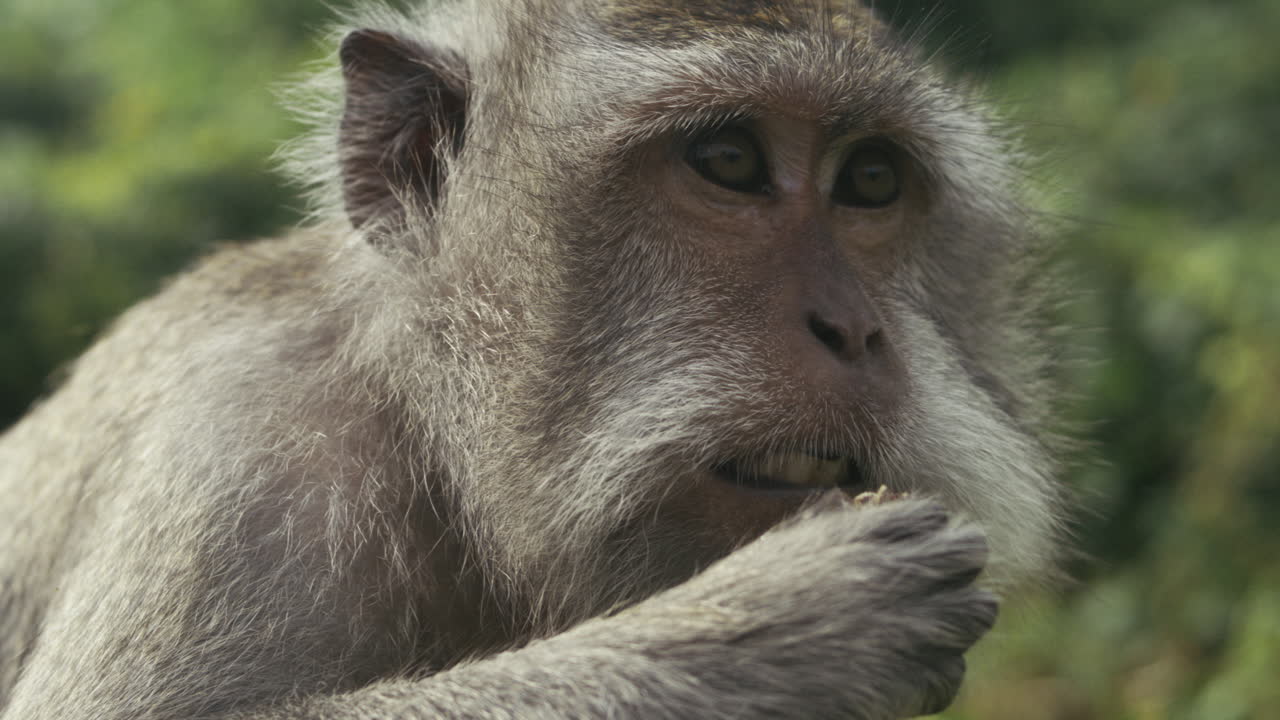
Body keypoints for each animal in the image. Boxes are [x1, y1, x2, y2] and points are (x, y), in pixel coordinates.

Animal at [0, 1, 1067, 718]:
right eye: (727, 160)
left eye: (872, 181)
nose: (850, 328)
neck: (435, 440)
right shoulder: (249, 451)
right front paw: (784, 629)